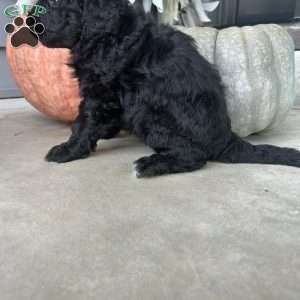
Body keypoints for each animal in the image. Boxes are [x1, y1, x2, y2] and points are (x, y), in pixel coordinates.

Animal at [34, 0, 300, 177]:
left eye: (55, 3)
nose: (29, 20)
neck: (108, 34)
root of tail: (226, 139)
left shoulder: (101, 92)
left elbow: (84, 123)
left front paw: (67, 150)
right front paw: (106, 133)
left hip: (148, 112)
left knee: (195, 155)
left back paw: (150, 165)